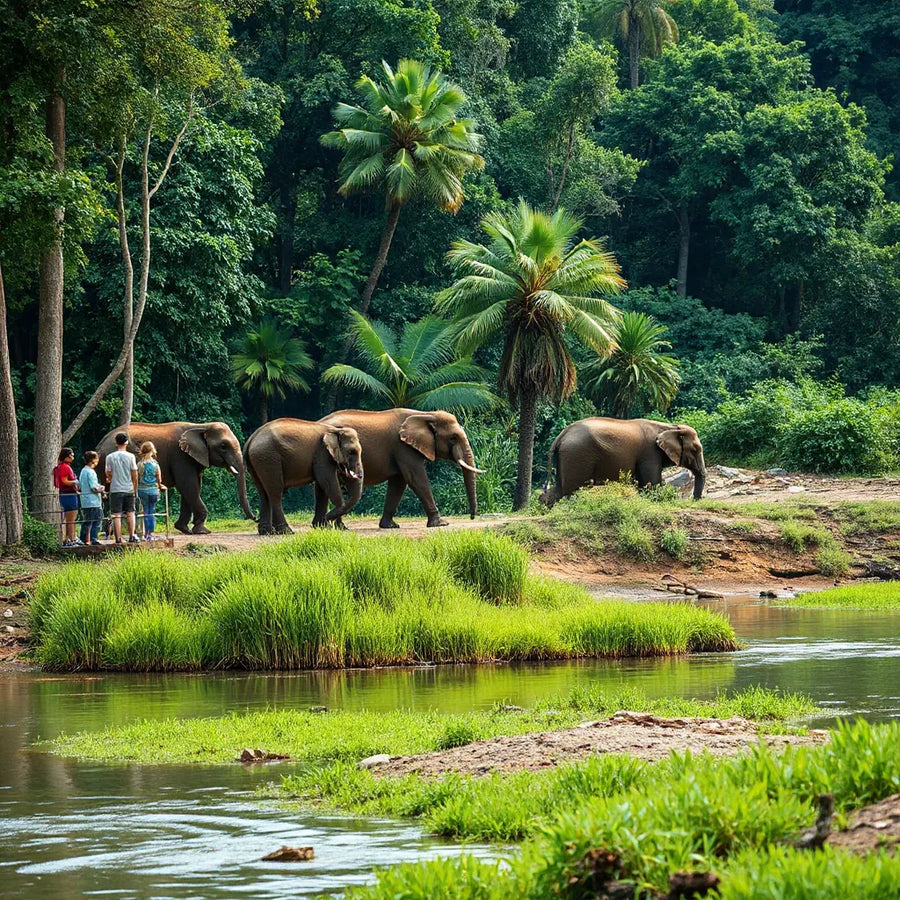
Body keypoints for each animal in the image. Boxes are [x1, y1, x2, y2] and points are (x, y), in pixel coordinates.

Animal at [97, 421, 253, 534]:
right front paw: (203, 531)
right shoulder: (180, 456)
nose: (255, 518)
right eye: (223, 446)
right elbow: (188, 485)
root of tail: (100, 444)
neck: (201, 426)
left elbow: (193, 487)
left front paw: (184, 529)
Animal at [317, 408, 482, 528]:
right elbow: (415, 478)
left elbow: (399, 482)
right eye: (453, 438)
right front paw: (441, 524)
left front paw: (389, 526)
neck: (426, 414)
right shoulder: (403, 447)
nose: (472, 517)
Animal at [540, 417, 707, 507]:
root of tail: (562, 434)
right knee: (571, 490)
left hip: (567, 456)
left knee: (560, 489)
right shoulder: (650, 453)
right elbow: (652, 484)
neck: (671, 426)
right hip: (577, 455)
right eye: (695, 450)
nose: (695, 500)